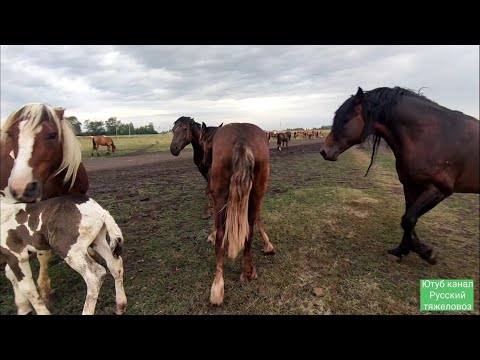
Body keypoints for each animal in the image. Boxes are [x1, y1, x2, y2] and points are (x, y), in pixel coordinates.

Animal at [199, 122, 274, 306]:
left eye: (202, 140)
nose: (204, 161)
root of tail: (241, 139)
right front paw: (268, 244)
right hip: (258, 191)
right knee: (249, 231)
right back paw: (248, 271)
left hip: (221, 195)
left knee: (221, 234)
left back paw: (217, 286)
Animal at [318, 86, 480, 262]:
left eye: (346, 120)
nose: (324, 151)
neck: (432, 137)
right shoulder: (410, 186)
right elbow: (409, 219)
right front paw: (406, 249)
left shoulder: (439, 190)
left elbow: (408, 219)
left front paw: (425, 252)